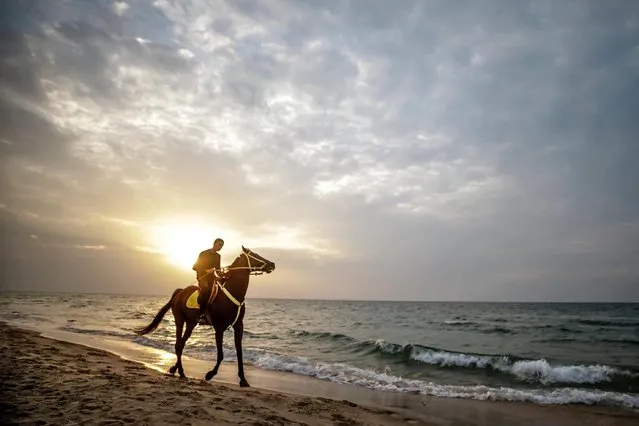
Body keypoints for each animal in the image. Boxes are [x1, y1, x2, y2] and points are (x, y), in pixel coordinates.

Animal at [135, 245, 276, 388]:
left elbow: (239, 353)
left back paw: (176, 370)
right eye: (255, 255)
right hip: (179, 320)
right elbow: (220, 354)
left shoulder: (238, 326)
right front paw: (210, 374)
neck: (232, 293)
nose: (272, 264)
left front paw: (243, 379)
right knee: (178, 344)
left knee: (181, 344)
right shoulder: (219, 328)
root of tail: (180, 292)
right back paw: (180, 371)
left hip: (191, 323)